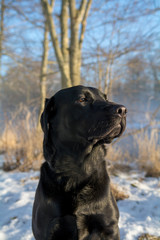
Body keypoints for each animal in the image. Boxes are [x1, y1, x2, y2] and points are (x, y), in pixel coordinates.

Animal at [32, 85, 126, 239]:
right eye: (82, 99)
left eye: (105, 98)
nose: (122, 110)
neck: (77, 170)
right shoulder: (47, 230)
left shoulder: (109, 227)